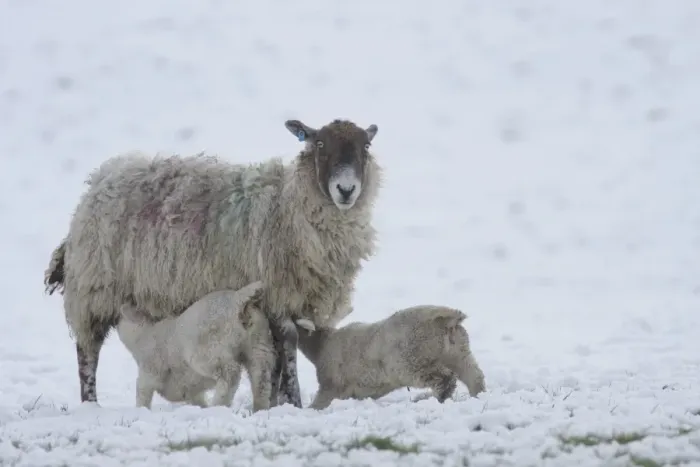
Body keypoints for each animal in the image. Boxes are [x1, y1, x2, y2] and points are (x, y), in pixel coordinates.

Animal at [116, 281, 275, 412]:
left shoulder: (150, 368)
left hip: (209, 350)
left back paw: (218, 405)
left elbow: (142, 392)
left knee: (230, 373)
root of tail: (237, 298)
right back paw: (260, 408)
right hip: (259, 343)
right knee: (261, 378)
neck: (143, 334)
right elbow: (196, 398)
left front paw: (140, 411)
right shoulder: (189, 389)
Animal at [294, 305, 486, 410]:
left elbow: (321, 401)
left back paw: (432, 399)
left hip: (411, 361)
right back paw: (478, 395)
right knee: (474, 375)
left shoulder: (331, 382)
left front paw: (310, 410)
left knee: (445, 379)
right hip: (458, 351)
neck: (322, 345)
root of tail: (447, 318)